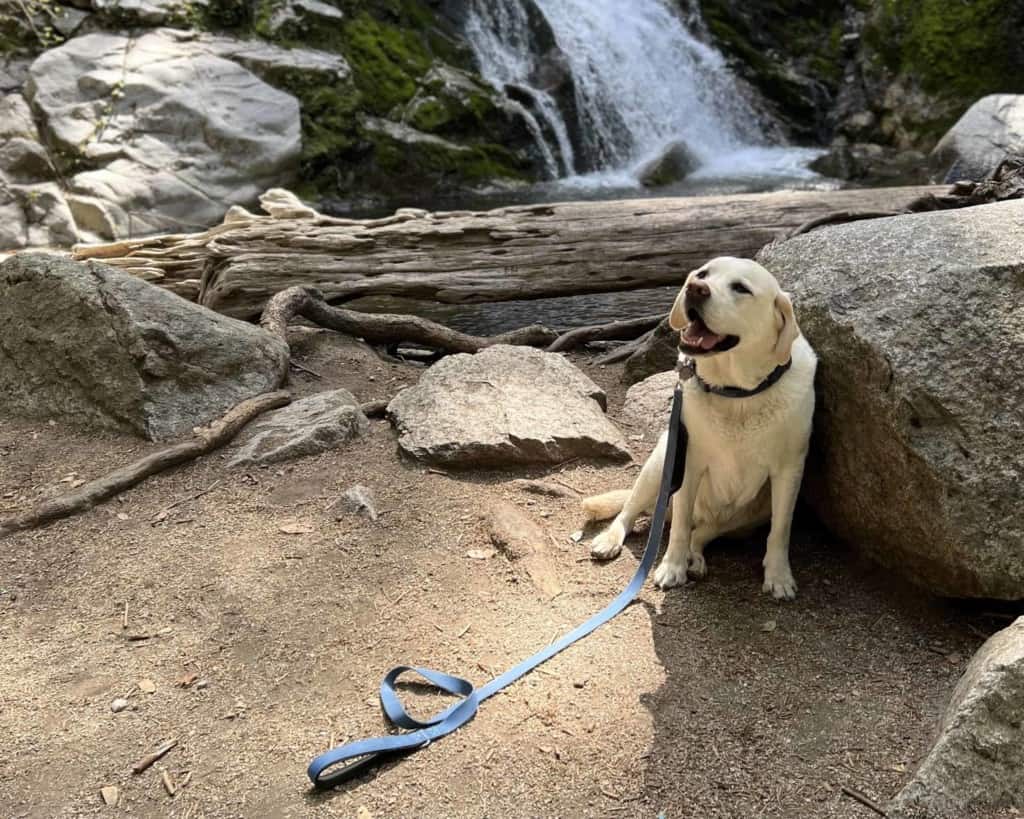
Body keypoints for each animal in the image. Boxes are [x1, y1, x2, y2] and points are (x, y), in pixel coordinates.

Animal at [585, 257, 815, 601]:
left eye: (741, 288)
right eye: (703, 274)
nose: (695, 288)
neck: (737, 393)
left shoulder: (789, 471)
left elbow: (780, 530)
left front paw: (779, 576)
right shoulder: (688, 464)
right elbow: (679, 526)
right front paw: (671, 567)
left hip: (751, 510)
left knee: (703, 532)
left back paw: (695, 558)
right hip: (660, 464)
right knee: (632, 510)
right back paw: (610, 540)